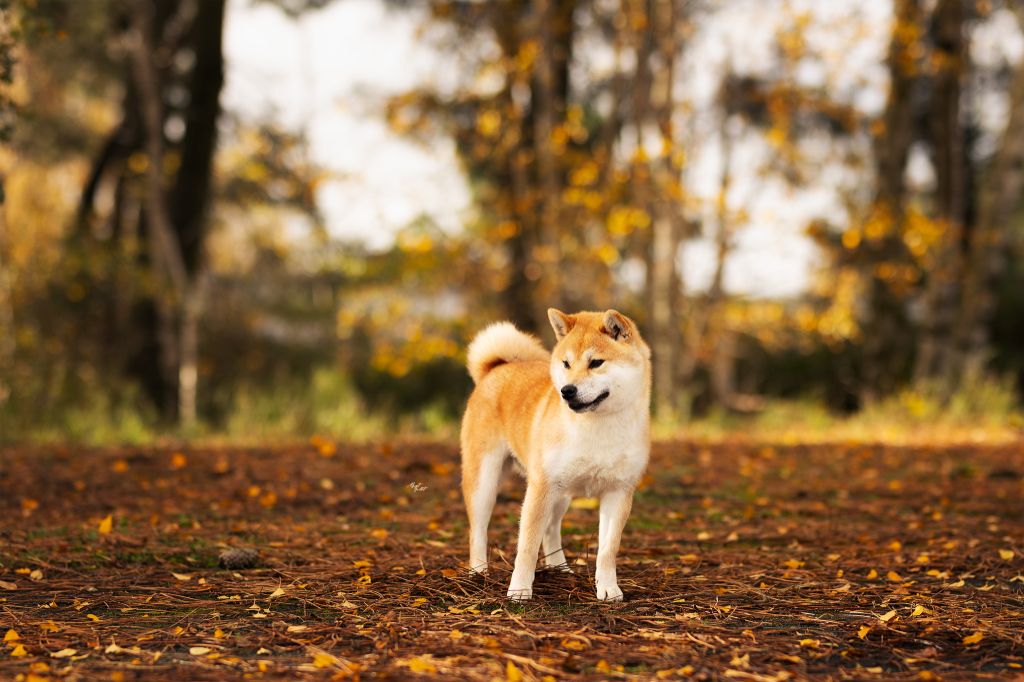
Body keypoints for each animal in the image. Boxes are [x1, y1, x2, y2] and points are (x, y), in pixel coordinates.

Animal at [458, 307, 647, 602]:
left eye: (596, 363)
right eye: (566, 364)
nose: (567, 390)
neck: (597, 428)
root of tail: (496, 368)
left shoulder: (618, 491)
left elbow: (607, 550)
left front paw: (608, 588)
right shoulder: (540, 487)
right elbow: (526, 546)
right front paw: (519, 590)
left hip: (561, 494)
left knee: (551, 529)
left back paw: (559, 567)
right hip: (485, 483)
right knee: (477, 530)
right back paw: (478, 572)